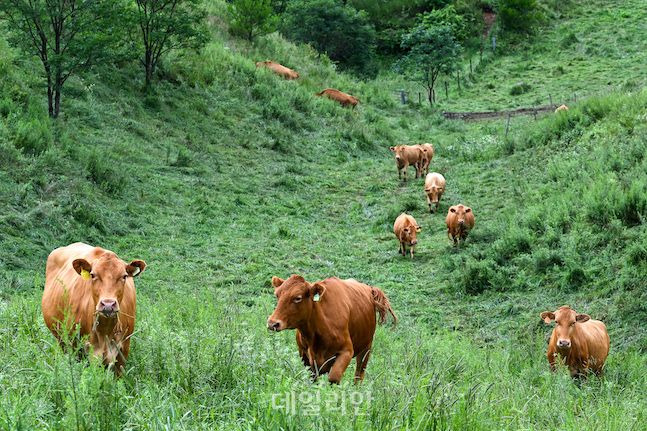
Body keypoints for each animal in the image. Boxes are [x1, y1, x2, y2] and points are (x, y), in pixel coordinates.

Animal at [41, 243, 146, 374]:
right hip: (63, 340)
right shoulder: (80, 348)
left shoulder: (123, 350)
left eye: (124, 276)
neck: (106, 330)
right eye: (93, 275)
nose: (108, 304)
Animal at [268, 276, 398, 384]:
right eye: (277, 295)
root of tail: (369, 288)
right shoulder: (304, 355)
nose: (273, 323)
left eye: (297, 298)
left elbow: (333, 378)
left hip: (366, 348)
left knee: (358, 375)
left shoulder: (347, 351)